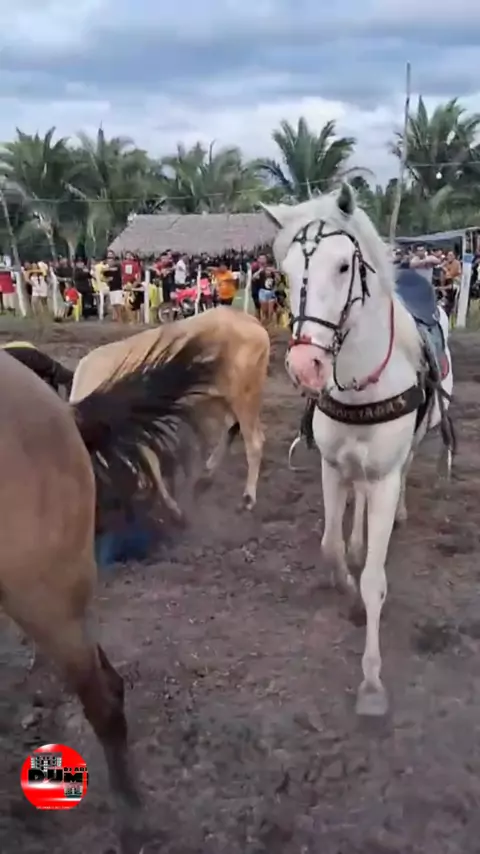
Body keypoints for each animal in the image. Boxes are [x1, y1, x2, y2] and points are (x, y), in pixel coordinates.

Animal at [70, 307, 270, 515]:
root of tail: (249, 320)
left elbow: (151, 462)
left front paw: (171, 506)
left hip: (245, 397)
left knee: (254, 442)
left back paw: (247, 498)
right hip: (223, 399)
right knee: (231, 428)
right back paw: (206, 476)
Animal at [261, 183, 454, 717]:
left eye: (344, 266)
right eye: (286, 273)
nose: (304, 366)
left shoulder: (385, 476)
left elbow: (374, 580)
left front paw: (371, 683)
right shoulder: (331, 466)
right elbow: (331, 549)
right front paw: (345, 585)